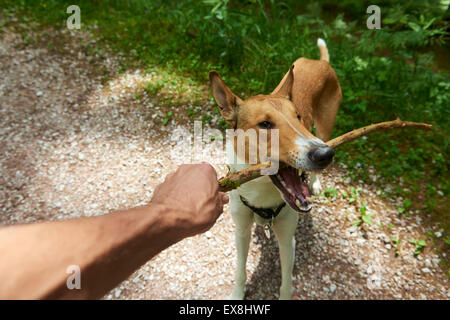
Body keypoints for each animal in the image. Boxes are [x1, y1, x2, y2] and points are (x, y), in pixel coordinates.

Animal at [209, 38, 342, 298]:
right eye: (265, 124)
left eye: (298, 117)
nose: (324, 155)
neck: (262, 196)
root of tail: (319, 61)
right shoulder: (241, 230)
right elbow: (240, 270)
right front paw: (237, 294)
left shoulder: (288, 238)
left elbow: (286, 281)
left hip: (324, 127)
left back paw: (315, 182)